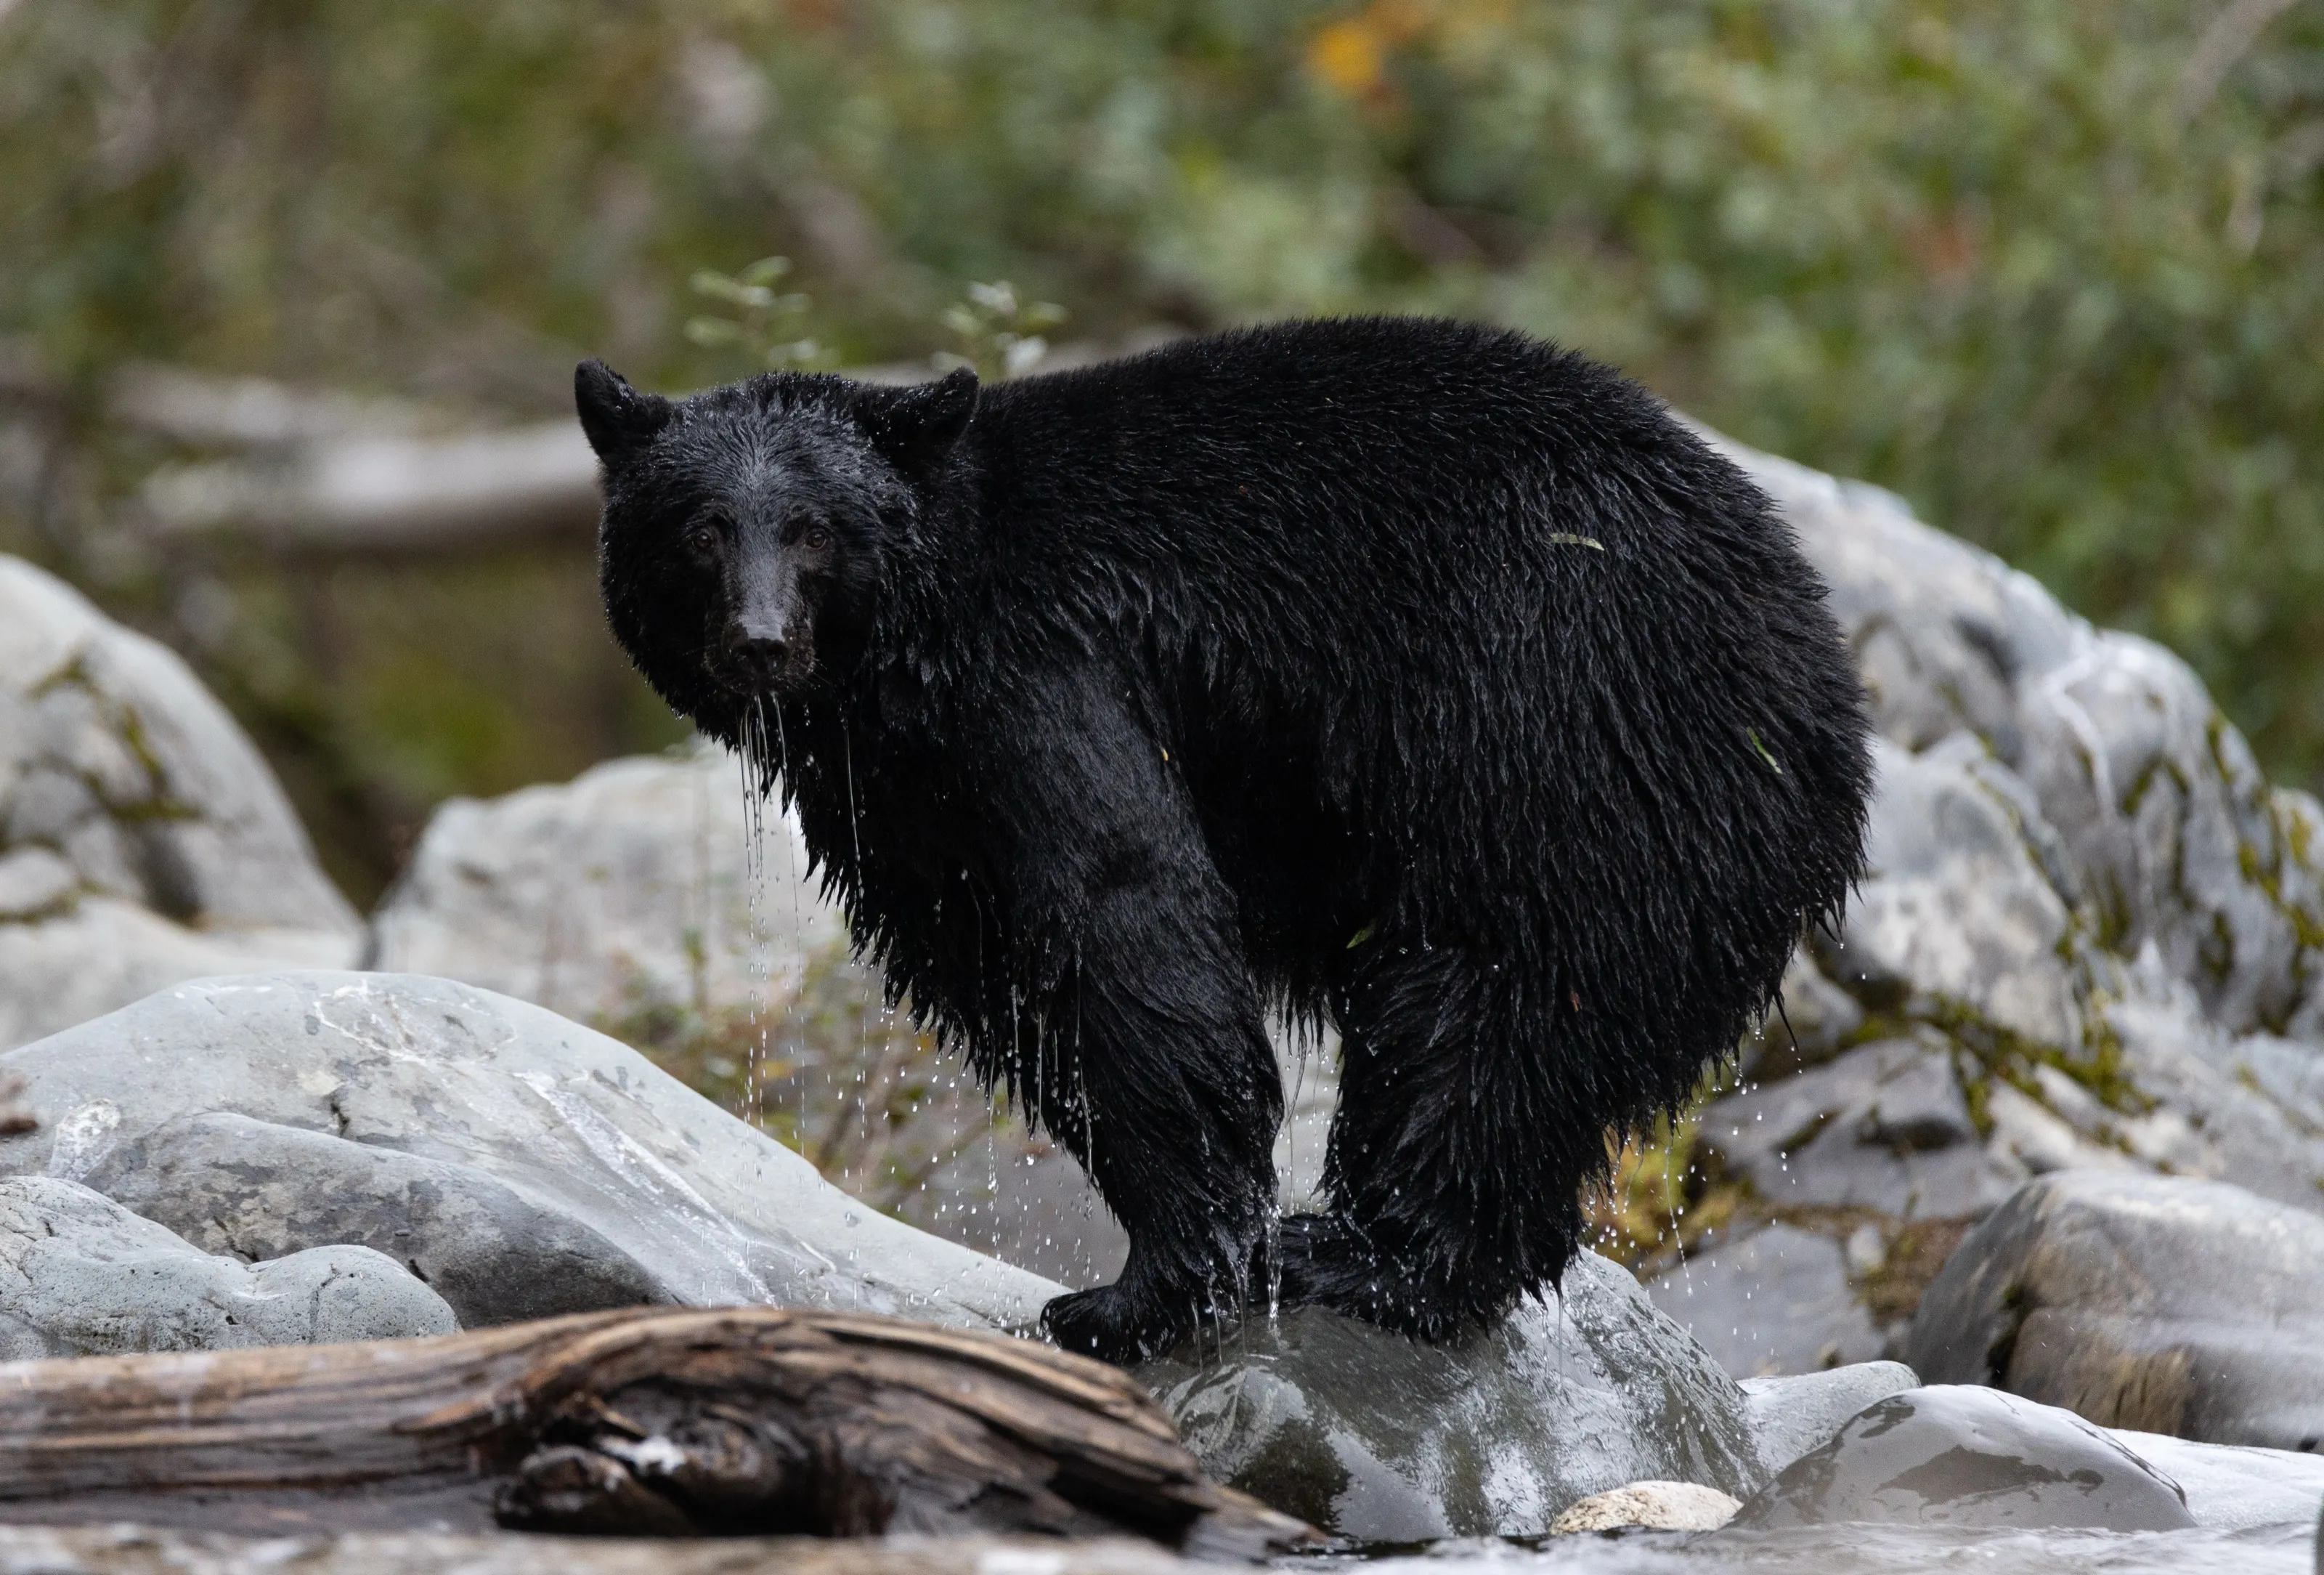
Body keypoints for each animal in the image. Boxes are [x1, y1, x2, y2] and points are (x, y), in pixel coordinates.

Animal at [577, 317, 1873, 1364]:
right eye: (701, 529)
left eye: (812, 531)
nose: (758, 642)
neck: (924, 631)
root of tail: (1822, 682)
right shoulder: (910, 793)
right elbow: (1002, 958)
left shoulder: (1045, 673)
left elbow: (1121, 917)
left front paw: (1135, 1294)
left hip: (1560, 729)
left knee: (1492, 1000)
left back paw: (1372, 1258)